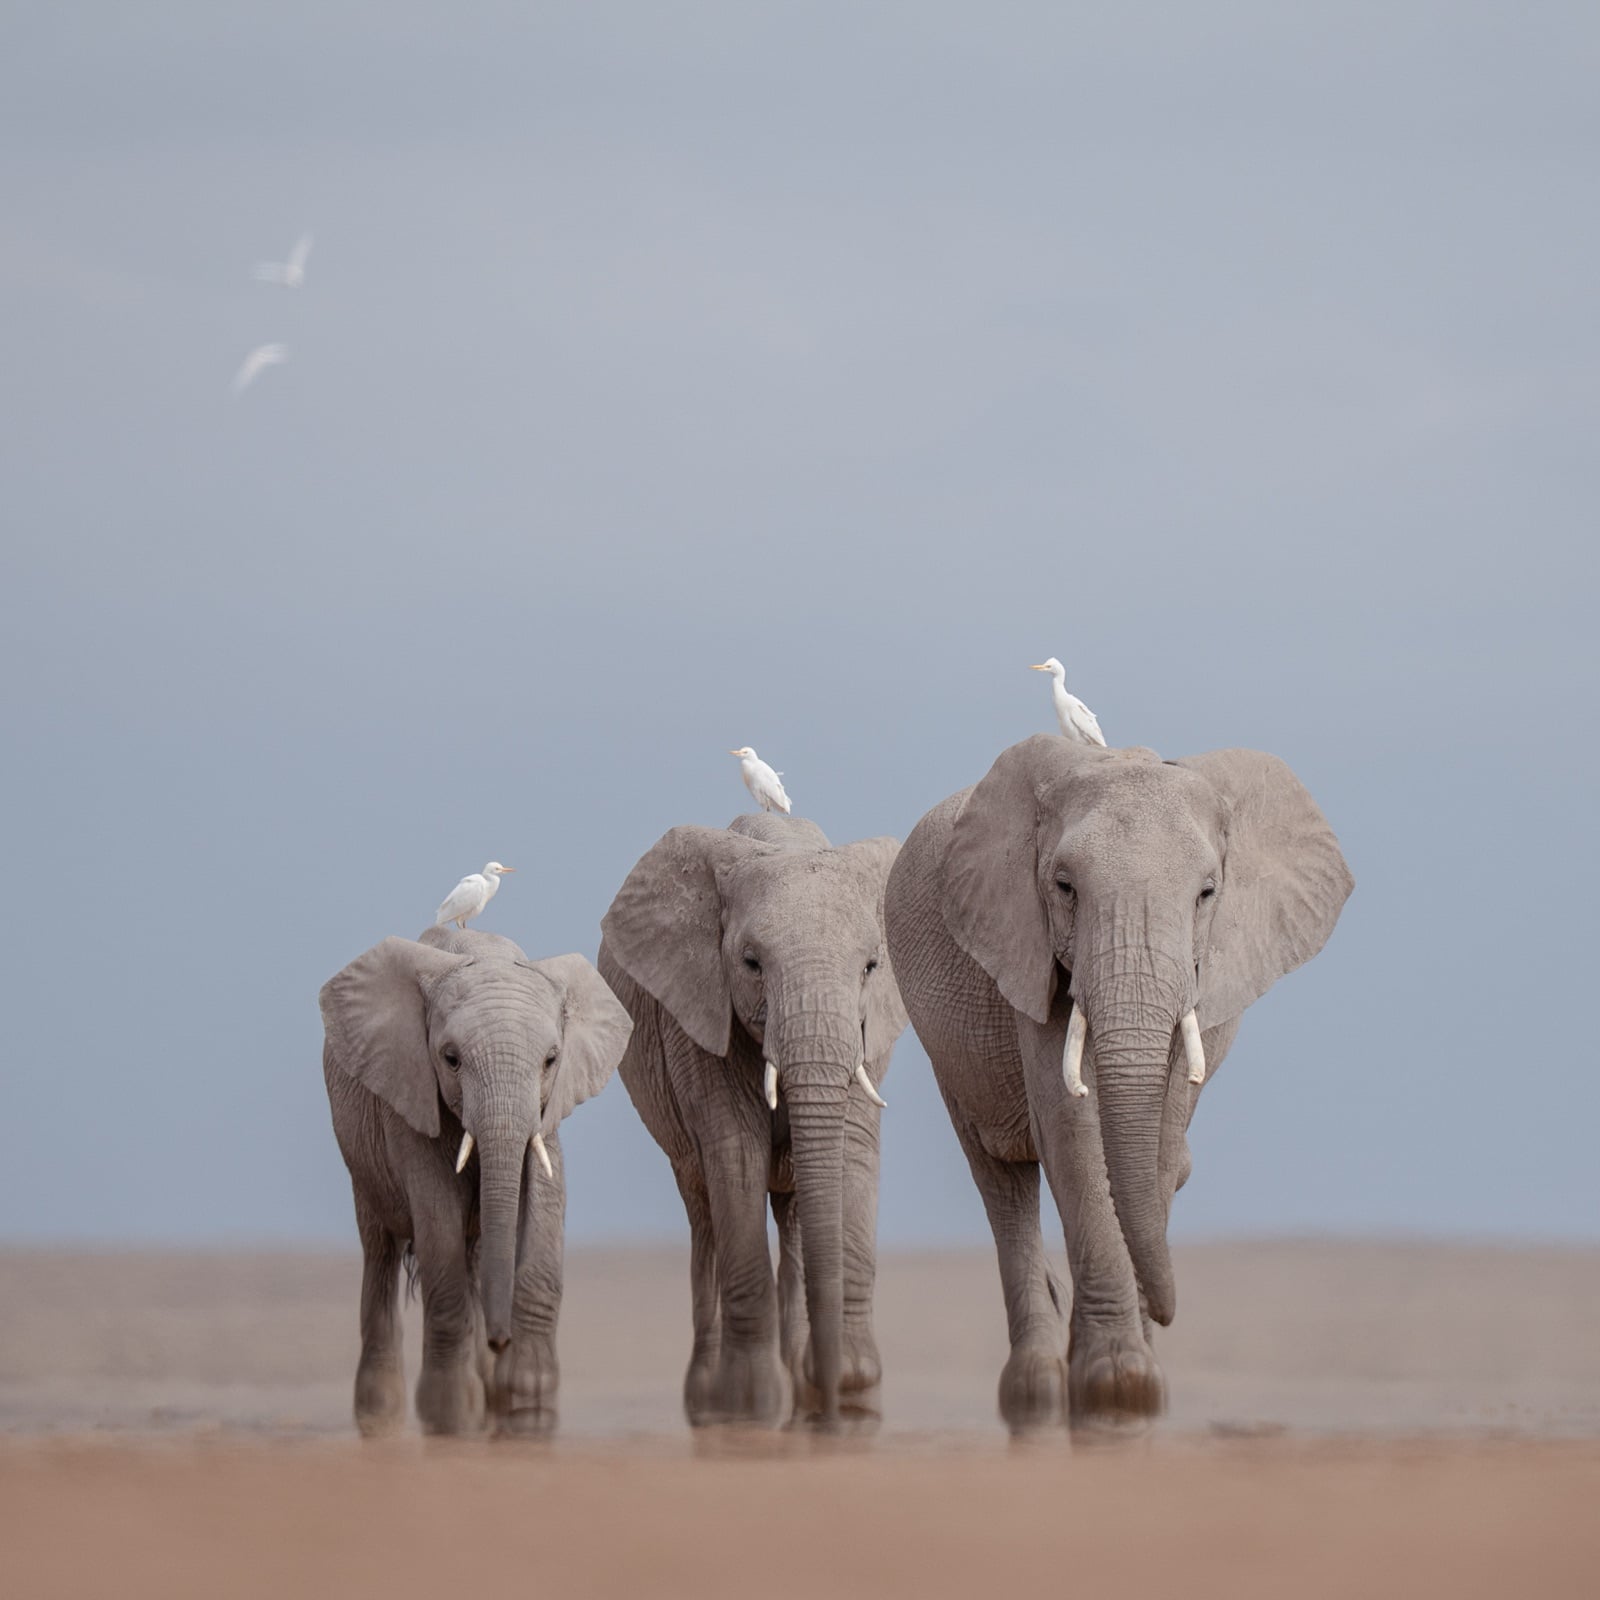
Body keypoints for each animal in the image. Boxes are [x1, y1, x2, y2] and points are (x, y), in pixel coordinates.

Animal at [320, 926, 631, 1437]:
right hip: (361, 1159)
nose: (500, 1340)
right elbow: (437, 1219)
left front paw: (529, 1399)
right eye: (450, 1059)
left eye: (551, 1060)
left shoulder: (547, 1112)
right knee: (381, 1253)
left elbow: (545, 1199)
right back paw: (384, 1419)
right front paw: (450, 1415)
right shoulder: (409, 1097)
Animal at [598, 811, 909, 1427]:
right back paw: (712, 1400)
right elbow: (735, 1152)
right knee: (704, 1213)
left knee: (792, 1214)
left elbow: (853, 1149)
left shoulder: (872, 1028)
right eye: (751, 963)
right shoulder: (697, 1013)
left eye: (870, 966)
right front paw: (752, 1402)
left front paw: (853, 1387)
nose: (830, 1405)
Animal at [884, 735, 1352, 1430]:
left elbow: (1160, 1132)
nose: (1167, 1310)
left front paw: (1131, 1380)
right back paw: (1038, 1387)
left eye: (1208, 892)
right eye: (1064, 887)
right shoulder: (1025, 944)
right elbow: (1072, 1128)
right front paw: (1118, 1386)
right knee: (1000, 1178)